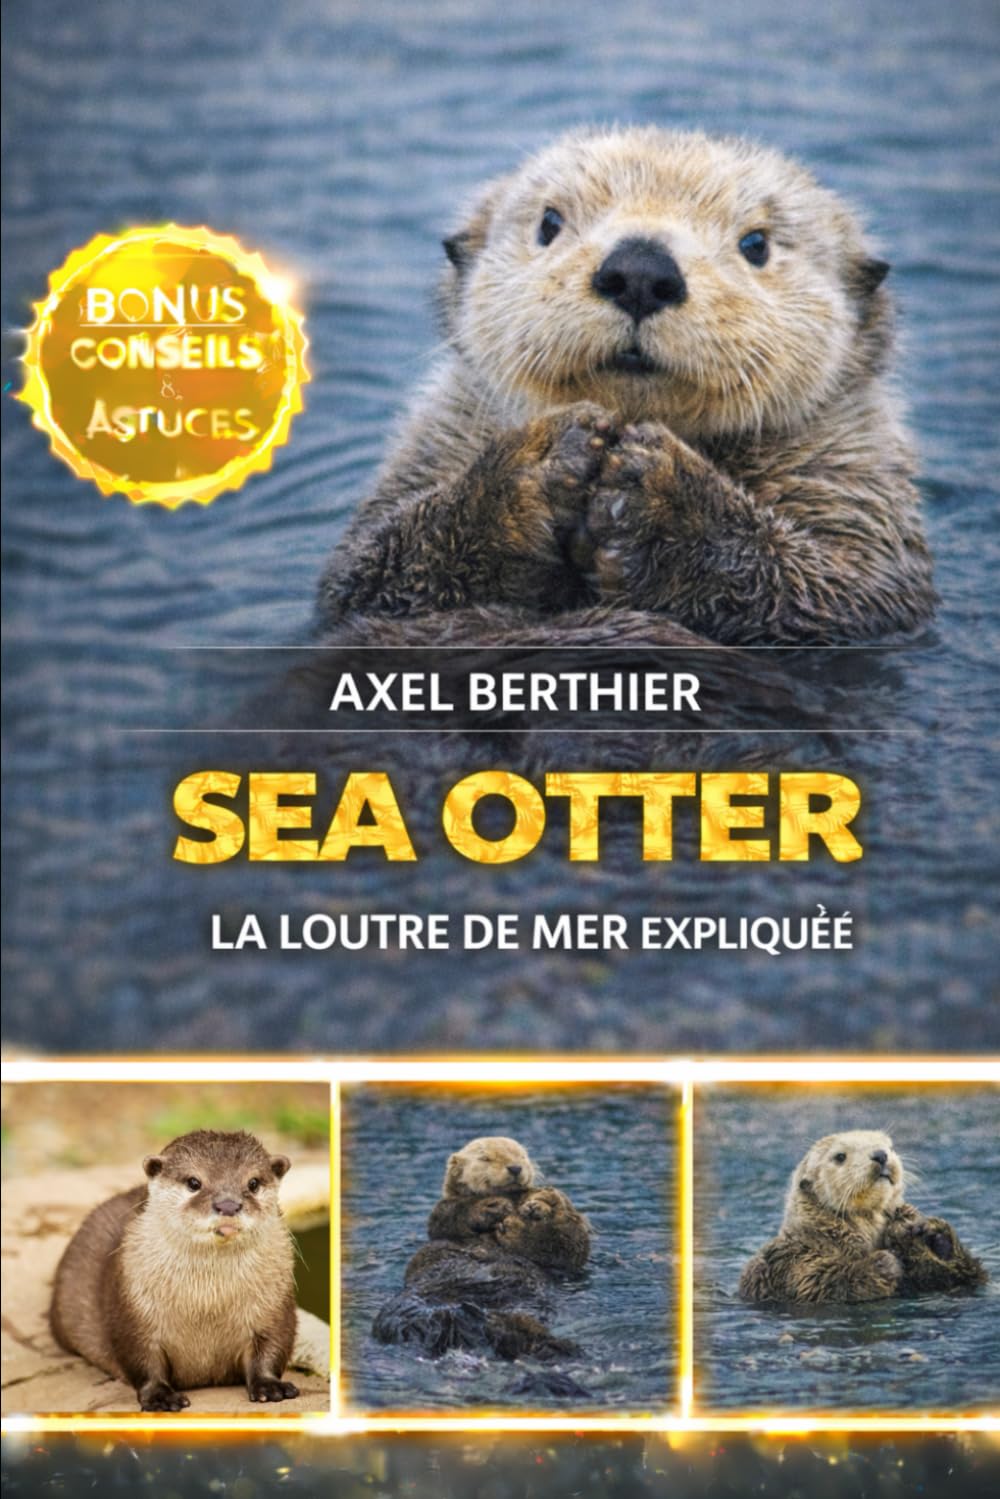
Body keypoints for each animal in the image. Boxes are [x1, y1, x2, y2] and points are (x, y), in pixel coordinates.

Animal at [50, 1130, 300, 1411]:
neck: (207, 1307)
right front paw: (160, 1396)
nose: (228, 1205)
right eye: (193, 1182)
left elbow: (273, 1344)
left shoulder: (274, 1307)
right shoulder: (134, 1310)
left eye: (253, 1183)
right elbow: (142, 1357)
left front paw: (269, 1386)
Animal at [317, 126, 935, 646]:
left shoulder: (854, 493)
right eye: (549, 223)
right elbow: (367, 571)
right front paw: (535, 465)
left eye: (756, 244)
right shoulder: (431, 450)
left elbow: (830, 592)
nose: (640, 270)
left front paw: (660, 500)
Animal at [739, 1129, 986, 1304]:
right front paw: (883, 1263)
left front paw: (934, 1237)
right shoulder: (795, 1260)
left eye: (890, 1147)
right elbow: (817, 1283)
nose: (881, 1154)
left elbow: (963, 1280)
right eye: (840, 1156)